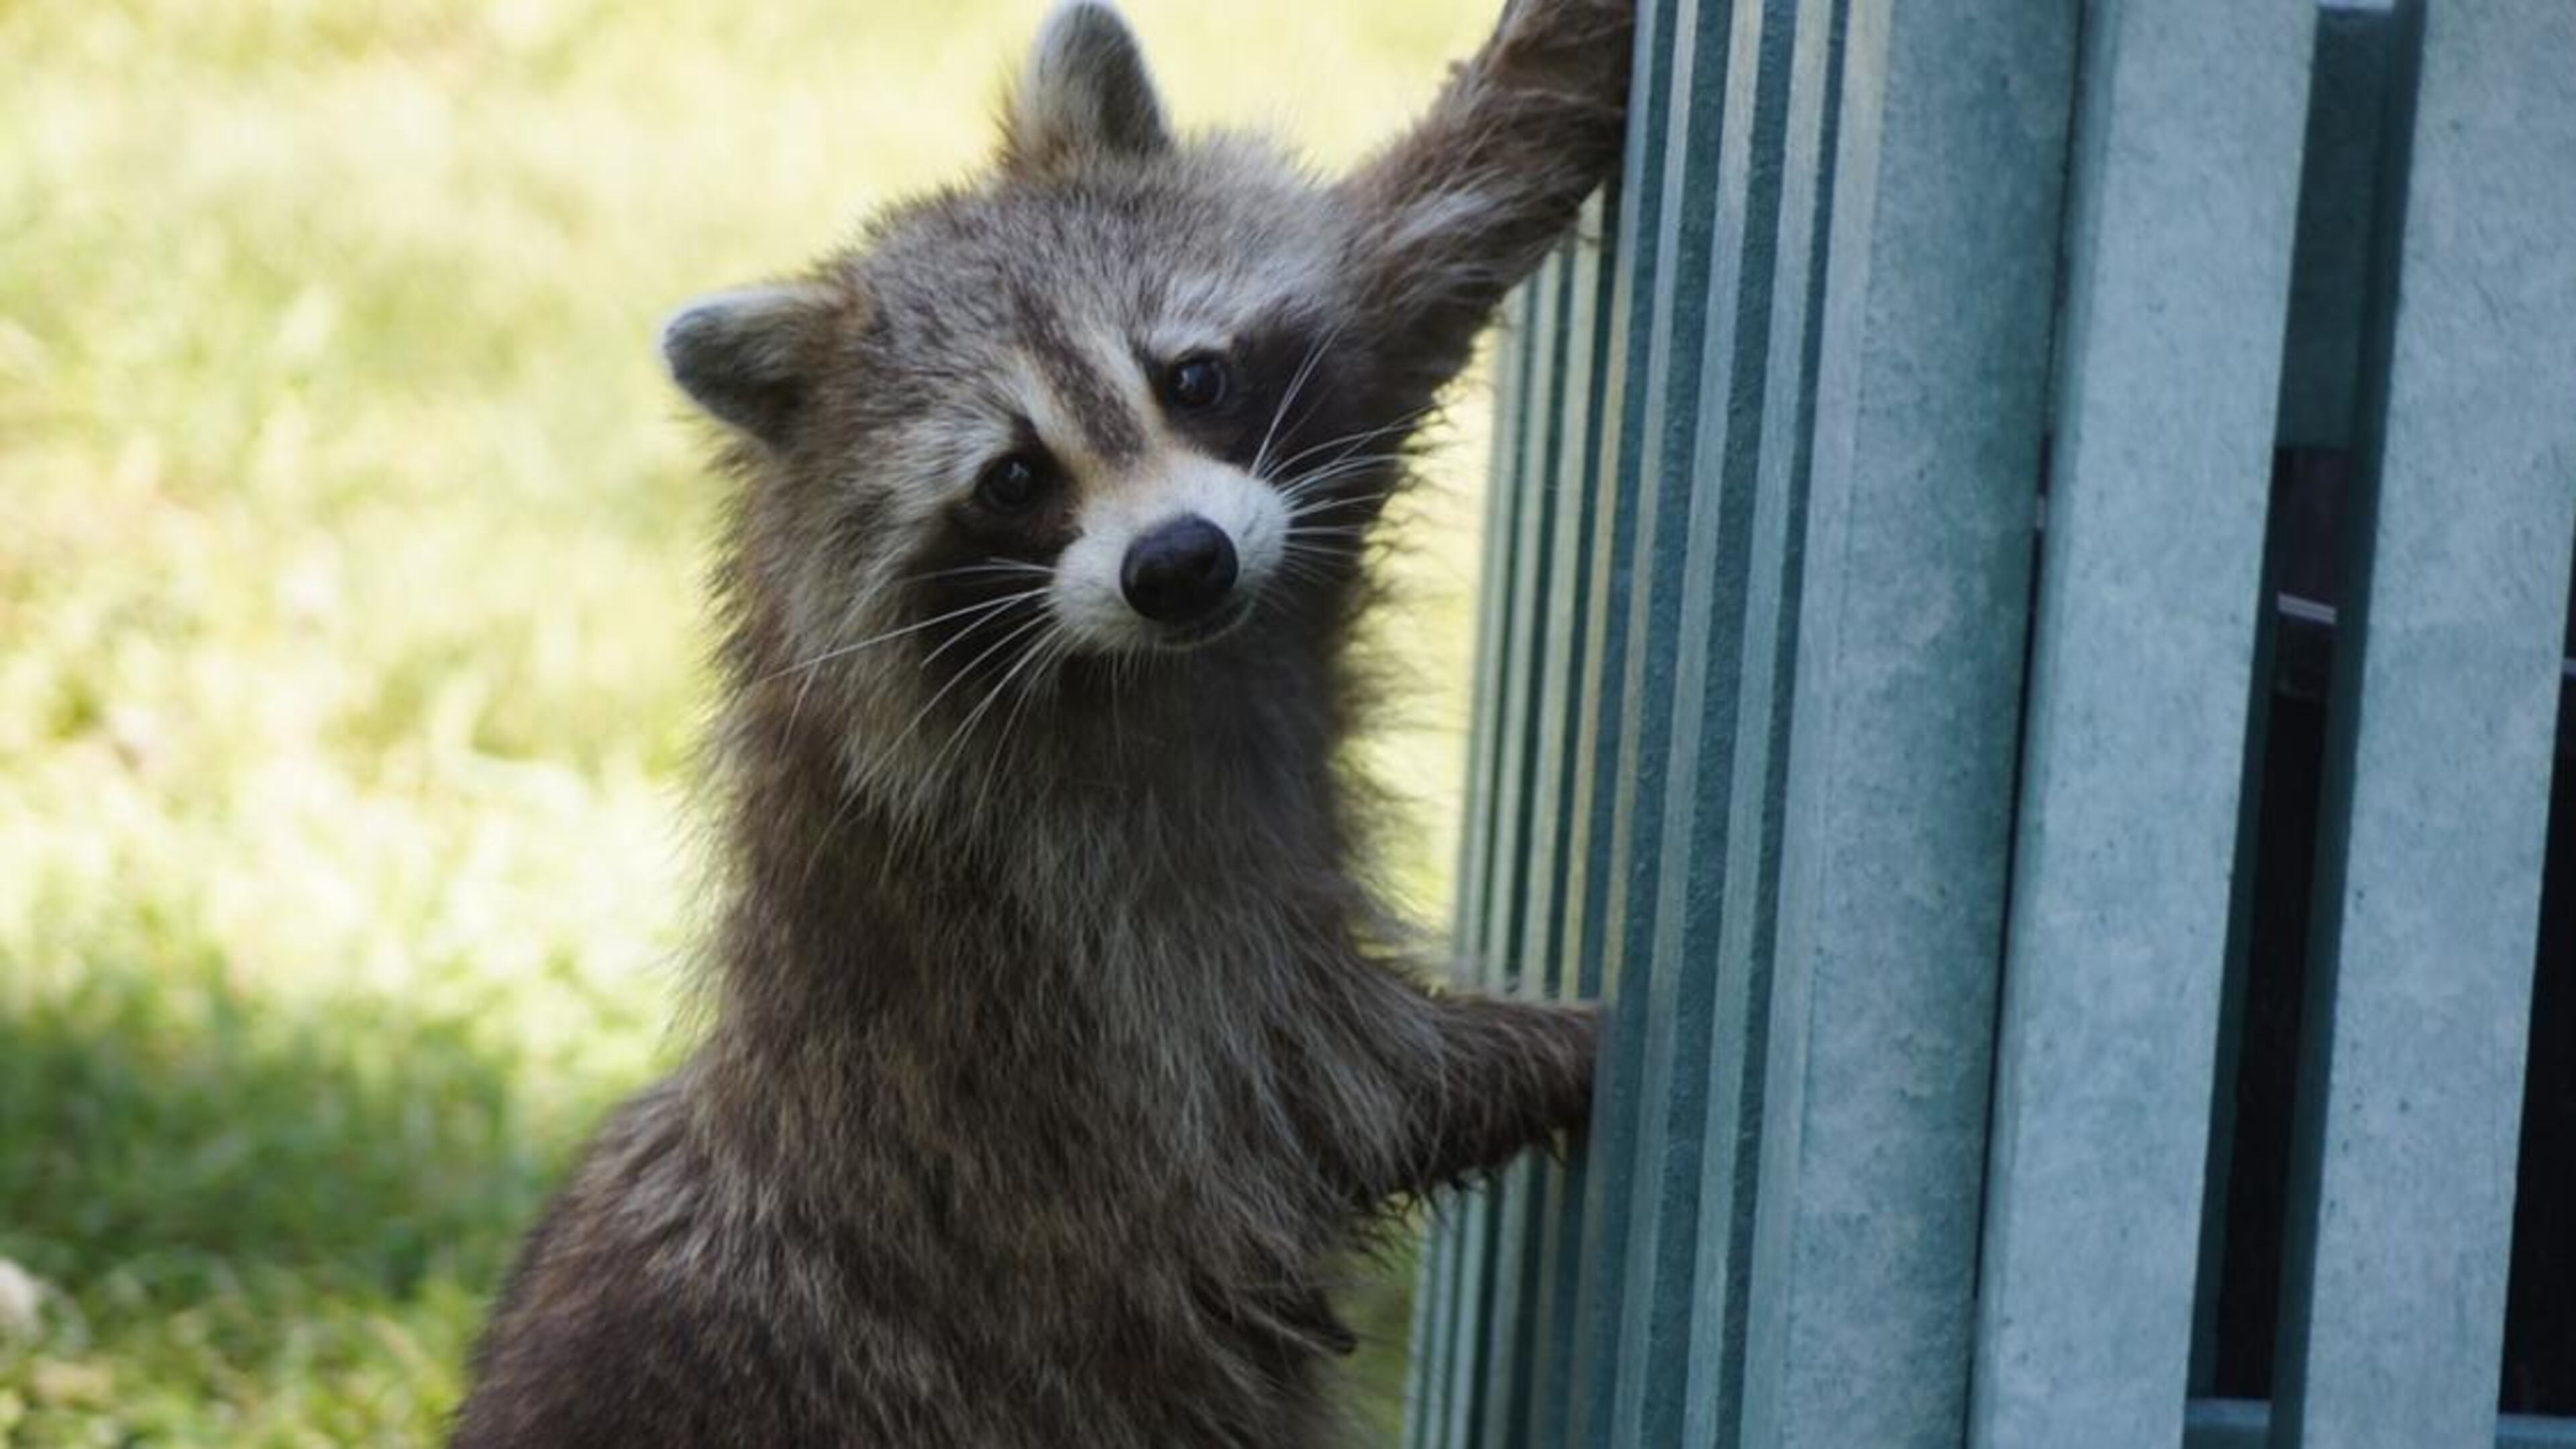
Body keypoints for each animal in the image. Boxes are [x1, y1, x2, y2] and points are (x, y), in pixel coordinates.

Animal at [449, 2, 1631, 1445]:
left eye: (1194, 377)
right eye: (1014, 479)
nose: (1179, 563)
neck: (1181, 656)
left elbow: (1421, 244)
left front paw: (1554, 68)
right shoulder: (1065, 895)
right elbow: (1305, 1076)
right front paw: (1567, 1050)